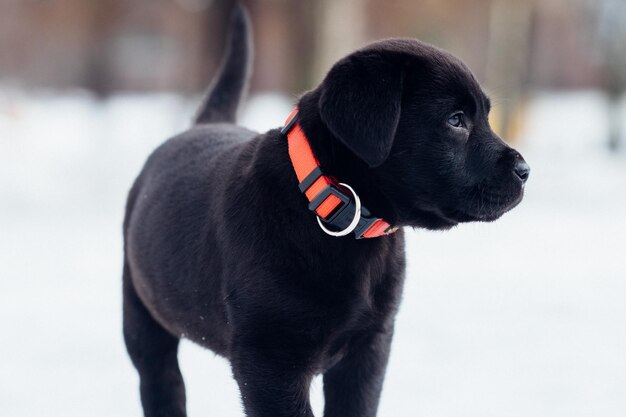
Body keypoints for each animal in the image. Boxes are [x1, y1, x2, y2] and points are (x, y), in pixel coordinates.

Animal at [122, 4, 528, 416]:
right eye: (455, 120)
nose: (525, 170)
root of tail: (205, 124)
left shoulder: (369, 350)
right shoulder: (269, 360)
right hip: (141, 316)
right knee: (162, 381)